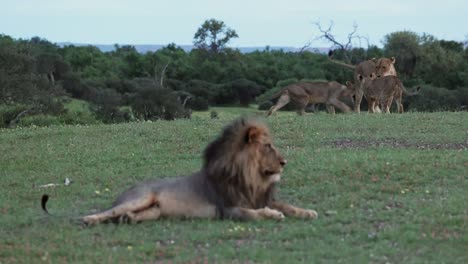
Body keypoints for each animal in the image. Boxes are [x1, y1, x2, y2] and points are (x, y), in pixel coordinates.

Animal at [43, 118, 318, 224]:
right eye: (268, 146)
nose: (284, 162)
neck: (252, 177)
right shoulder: (227, 209)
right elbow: (254, 213)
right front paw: (273, 215)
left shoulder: (261, 197)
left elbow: (288, 205)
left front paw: (308, 212)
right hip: (141, 198)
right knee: (105, 212)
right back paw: (89, 220)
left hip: (153, 211)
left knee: (129, 215)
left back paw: (127, 219)